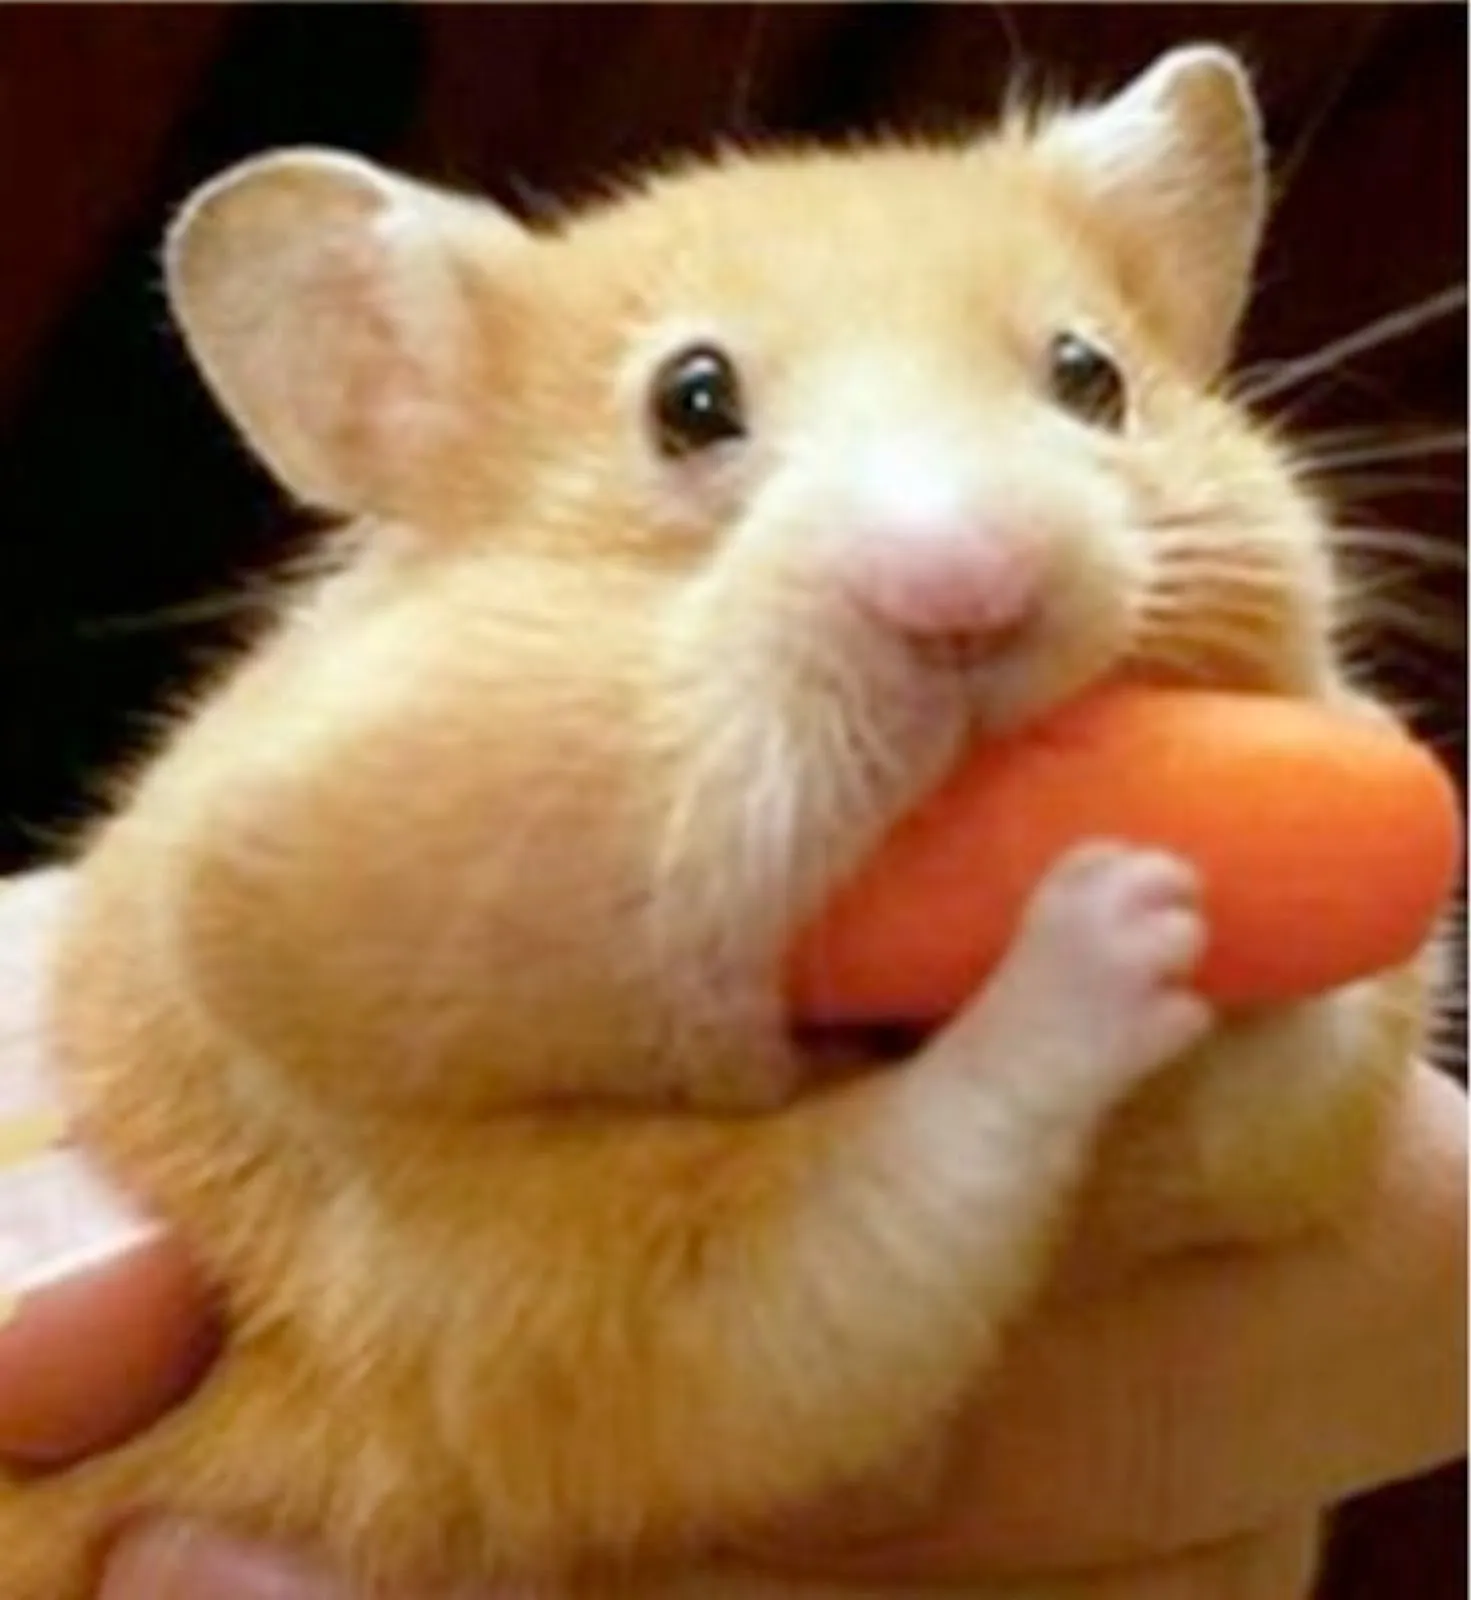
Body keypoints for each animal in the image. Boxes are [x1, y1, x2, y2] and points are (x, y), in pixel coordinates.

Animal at [5, 43, 1432, 1600]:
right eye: (689, 401)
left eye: (1089, 378)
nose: (969, 594)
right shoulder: (526, 1302)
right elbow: (897, 1192)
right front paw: (1115, 913)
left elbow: (1287, 1078)